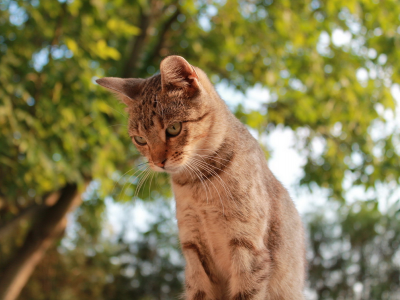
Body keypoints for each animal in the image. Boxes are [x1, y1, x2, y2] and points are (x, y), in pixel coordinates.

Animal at [96, 55, 306, 298]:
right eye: (140, 139)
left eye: (174, 128)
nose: (158, 162)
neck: (197, 184)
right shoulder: (194, 249)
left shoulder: (248, 246)